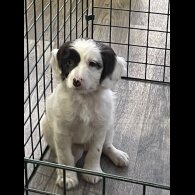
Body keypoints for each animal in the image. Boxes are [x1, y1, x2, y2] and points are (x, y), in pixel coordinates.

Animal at [41, 38, 129, 189]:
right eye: (69, 62)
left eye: (93, 64)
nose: (76, 81)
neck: (84, 99)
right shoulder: (62, 132)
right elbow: (65, 156)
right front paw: (67, 176)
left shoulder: (99, 129)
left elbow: (95, 152)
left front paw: (92, 171)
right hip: (46, 126)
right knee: (66, 154)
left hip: (109, 124)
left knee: (106, 146)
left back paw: (118, 155)